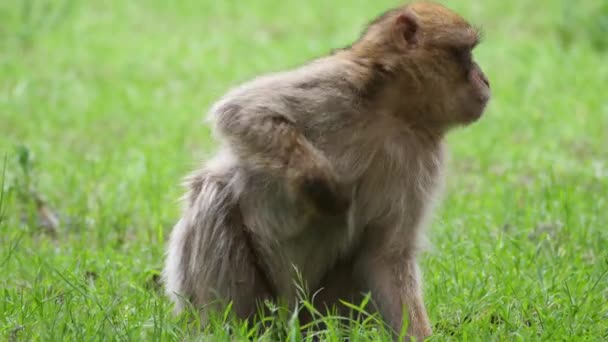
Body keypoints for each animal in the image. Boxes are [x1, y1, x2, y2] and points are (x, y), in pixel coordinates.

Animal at [162, 1, 490, 340]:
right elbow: (242, 112)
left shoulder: (424, 158)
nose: (485, 80)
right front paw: (324, 190)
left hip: (320, 311)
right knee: (215, 187)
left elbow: (387, 254)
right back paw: (226, 328)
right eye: (467, 53)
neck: (397, 114)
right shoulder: (338, 83)